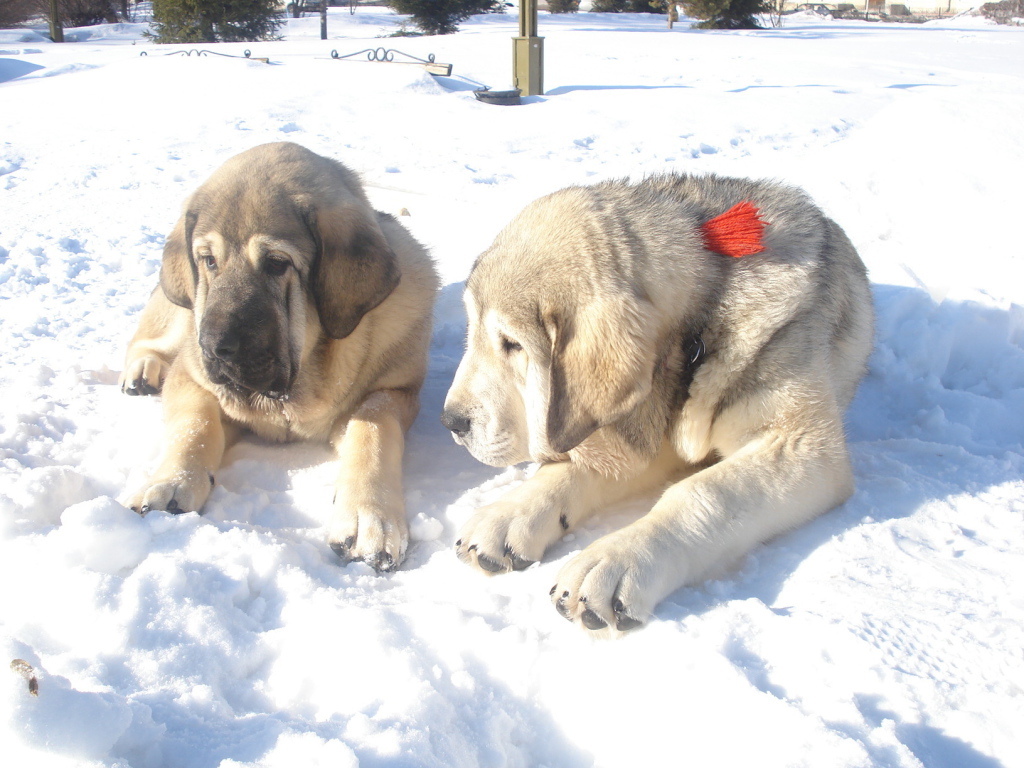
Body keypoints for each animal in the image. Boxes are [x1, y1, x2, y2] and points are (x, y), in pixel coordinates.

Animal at [119, 142, 438, 571]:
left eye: (276, 263)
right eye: (209, 260)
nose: (213, 347)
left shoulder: (395, 390)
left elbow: (372, 430)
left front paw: (369, 517)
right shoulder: (191, 375)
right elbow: (195, 425)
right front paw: (170, 482)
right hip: (179, 315)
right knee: (148, 336)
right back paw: (142, 370)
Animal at [441, 174, 873, 631]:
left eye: (512, 344)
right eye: (473, 329)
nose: (451, 421)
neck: (695, 338)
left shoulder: (805, 449)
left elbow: (706, 491)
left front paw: (618, 559)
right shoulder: (642, 422)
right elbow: (572, 466)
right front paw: (512, 512)